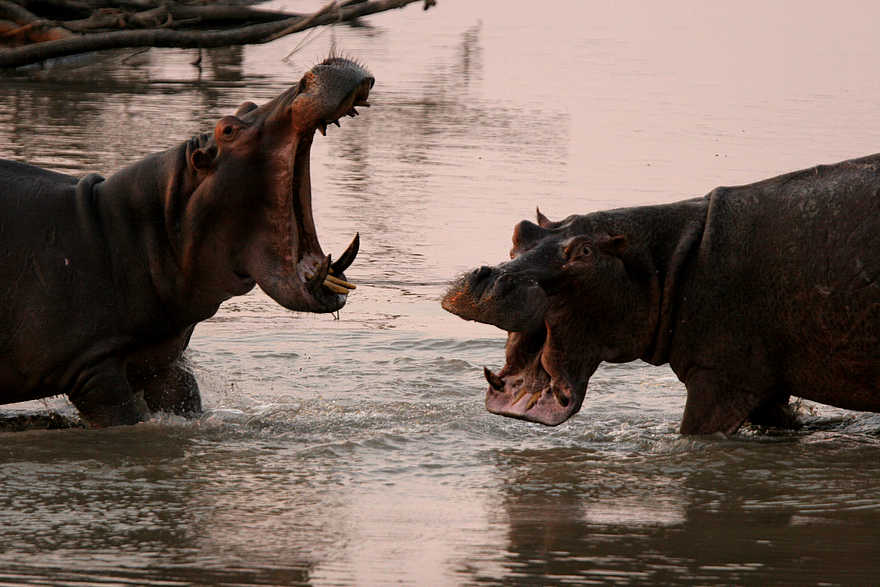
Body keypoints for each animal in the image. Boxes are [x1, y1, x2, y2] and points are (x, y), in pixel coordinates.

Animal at [443, 153, 880, 434]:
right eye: (520, 230)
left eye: (584, 252)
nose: (486, 278)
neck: (660, 260)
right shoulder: (767, 385)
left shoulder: (719, 377)